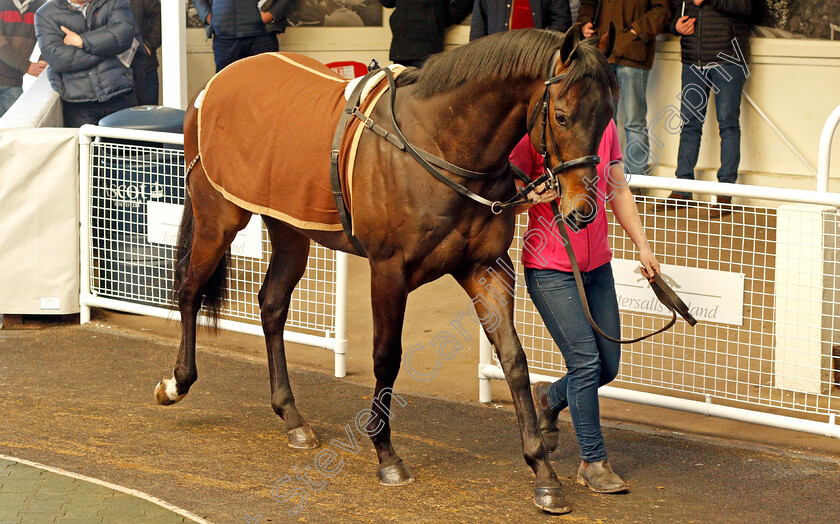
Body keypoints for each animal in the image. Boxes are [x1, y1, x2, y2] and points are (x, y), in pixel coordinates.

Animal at [156, 26, 616, 512]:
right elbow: (386, 357)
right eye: (562, 116)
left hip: (290, 229)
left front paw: (543, 472)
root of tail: (213, 84)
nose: (583, 210)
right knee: (189, 290)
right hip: (218, 216)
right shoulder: (389, 271)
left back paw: (292, 416)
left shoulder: (486, 267)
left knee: (272, 305)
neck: (438, 144)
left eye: (607, 117)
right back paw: (177, 382)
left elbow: (513, 359)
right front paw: (386, 454)